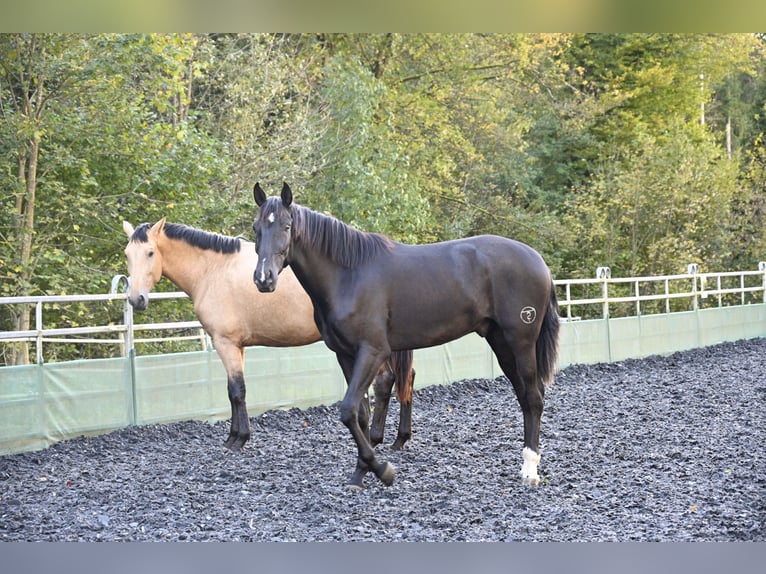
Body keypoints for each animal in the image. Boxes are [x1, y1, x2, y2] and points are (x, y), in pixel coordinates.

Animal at [255, 184, 560, 490]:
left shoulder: (373, 351)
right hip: (501, 343)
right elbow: (360, 414)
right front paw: (360, 474)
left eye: (286, 226)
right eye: (257, 227)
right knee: (524, 396)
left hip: (521, 341)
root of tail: (539, 262)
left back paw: (530, 469)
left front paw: (382, 470)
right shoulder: (346, 355)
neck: (350, 275)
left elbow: (348, 409)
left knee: (533, 397)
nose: (263, 279)